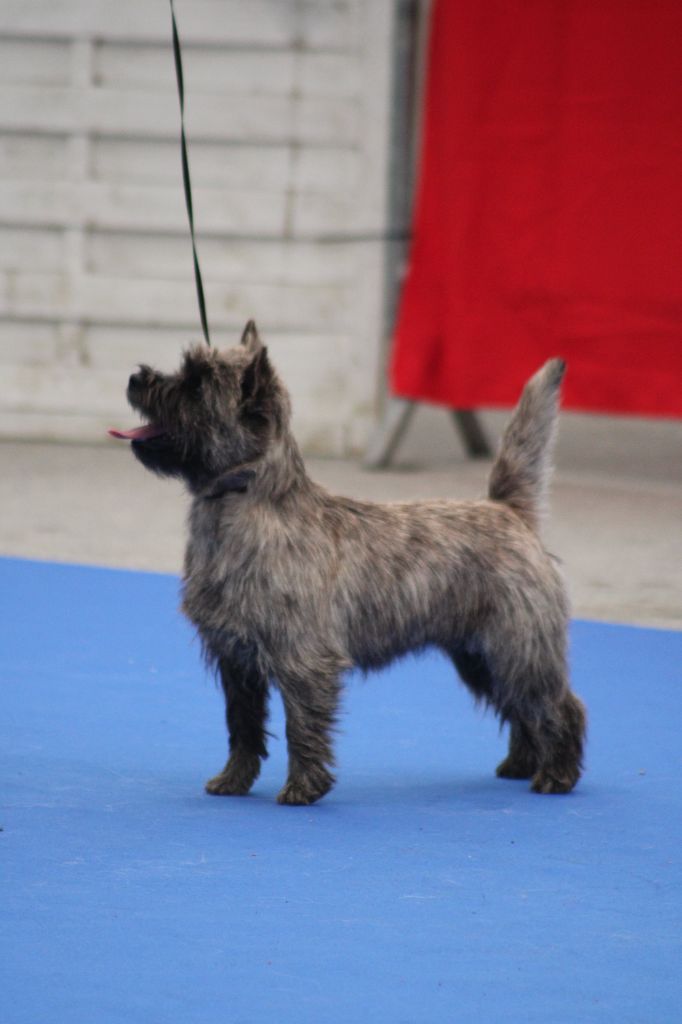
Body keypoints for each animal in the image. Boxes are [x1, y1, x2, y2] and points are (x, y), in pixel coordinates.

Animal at [110, 323, 585, 802]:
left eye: (196, 384)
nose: (135, 378)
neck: (245, 506)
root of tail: (508, 510)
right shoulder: (237, 660)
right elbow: (243, 726)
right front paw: (233, 781)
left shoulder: (302, 660)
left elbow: (301, 726)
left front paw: (303, 788)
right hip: (479, 656)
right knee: (521, 707)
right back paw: (522, 765)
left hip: (516, 649)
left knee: (559, 706)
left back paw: (556, 775)